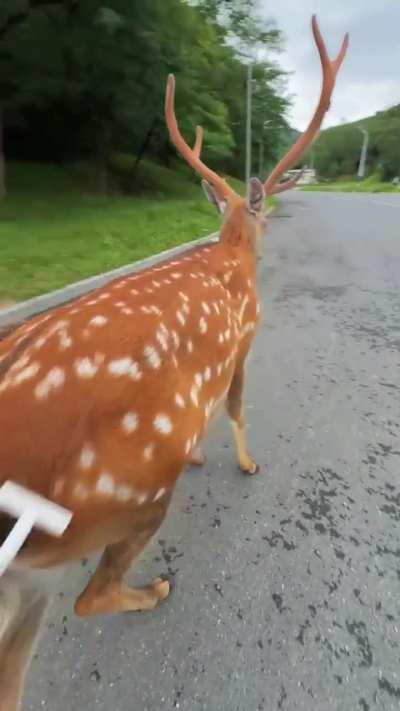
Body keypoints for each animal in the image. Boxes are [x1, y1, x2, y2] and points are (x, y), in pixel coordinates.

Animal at [0, 15, 348, 710]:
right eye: (263, 209)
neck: (235, 257)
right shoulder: (244, 339)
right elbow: (234, 403)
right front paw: (245, 462)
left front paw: (201, 453)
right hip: (115, 496)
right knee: (91, 596)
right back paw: (156, 589)